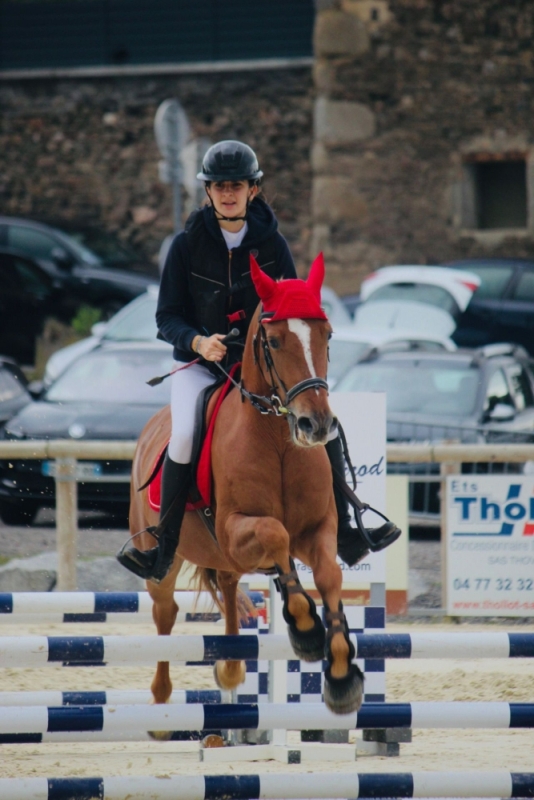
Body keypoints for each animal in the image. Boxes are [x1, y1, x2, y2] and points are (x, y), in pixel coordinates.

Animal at [127, 255, 366, 720]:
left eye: (327, 335)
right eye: (273, 341)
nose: (316, 425)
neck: (278, 440)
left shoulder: (318, 528)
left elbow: (327, 574)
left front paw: (341, 673)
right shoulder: (235, 528)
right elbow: (276, 535)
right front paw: (306, 629)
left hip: (226, 558)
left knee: (230, 585)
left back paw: (233, 668)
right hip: (166, 560)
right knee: (165, 612)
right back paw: (162, 701)